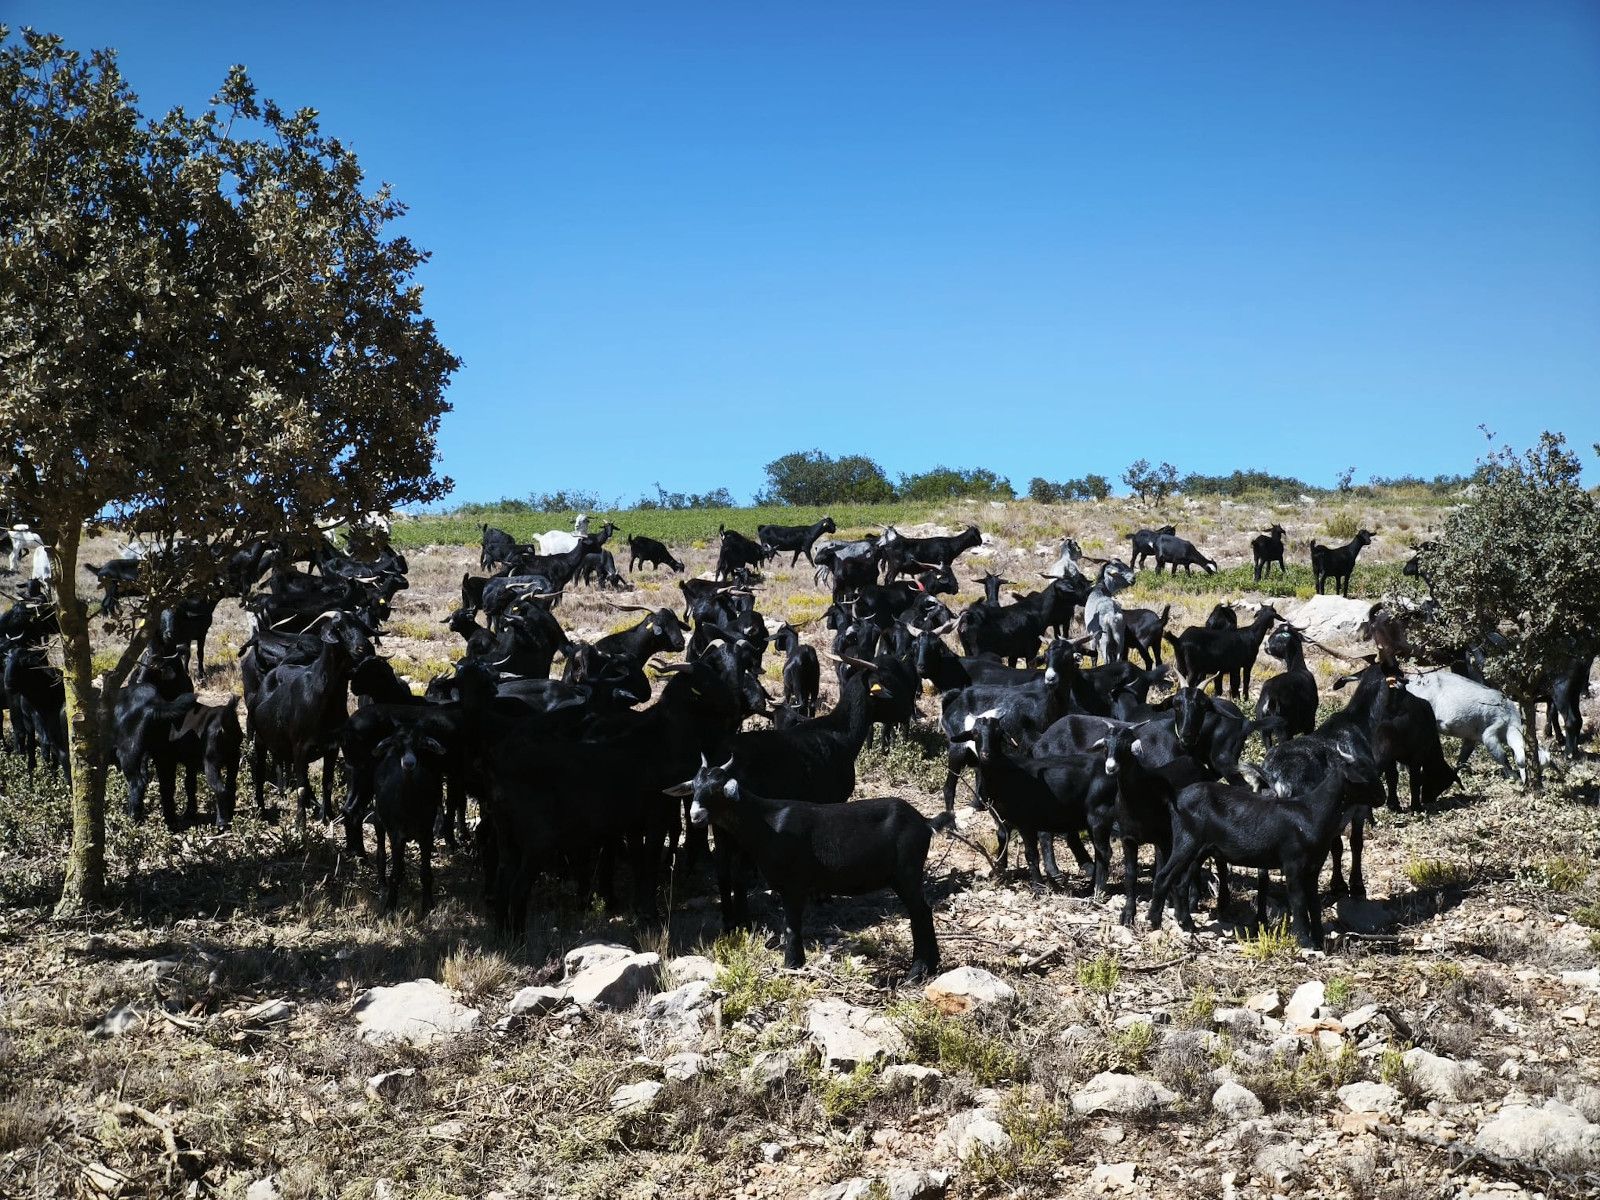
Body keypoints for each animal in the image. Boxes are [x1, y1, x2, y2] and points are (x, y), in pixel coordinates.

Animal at [665, 756, 949, 981]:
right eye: (694, 787)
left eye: (716, 789)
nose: (696, 816)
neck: (767, 823)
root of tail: (925, 822)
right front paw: (795, 963)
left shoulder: (794, 883)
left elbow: (791, 924)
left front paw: (791, 964)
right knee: (921, 912)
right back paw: (929, 967)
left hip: (907, 872)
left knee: (920, 913)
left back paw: (916, 972)